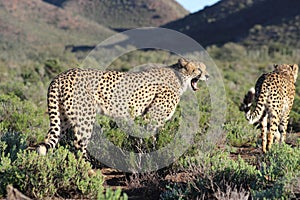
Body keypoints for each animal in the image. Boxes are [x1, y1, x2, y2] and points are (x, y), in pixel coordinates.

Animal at [37, 58, 210, 159]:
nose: (207, 76)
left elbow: (142, 138)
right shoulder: (153, 117)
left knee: (50, 137)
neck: (179, 78)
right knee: (79, 143)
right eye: (198, 70)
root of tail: (62, 75)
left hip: (64, 117)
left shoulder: (144, 117)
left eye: (204, 68)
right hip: (85, 117)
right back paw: (88, 169)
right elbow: (153, 139)